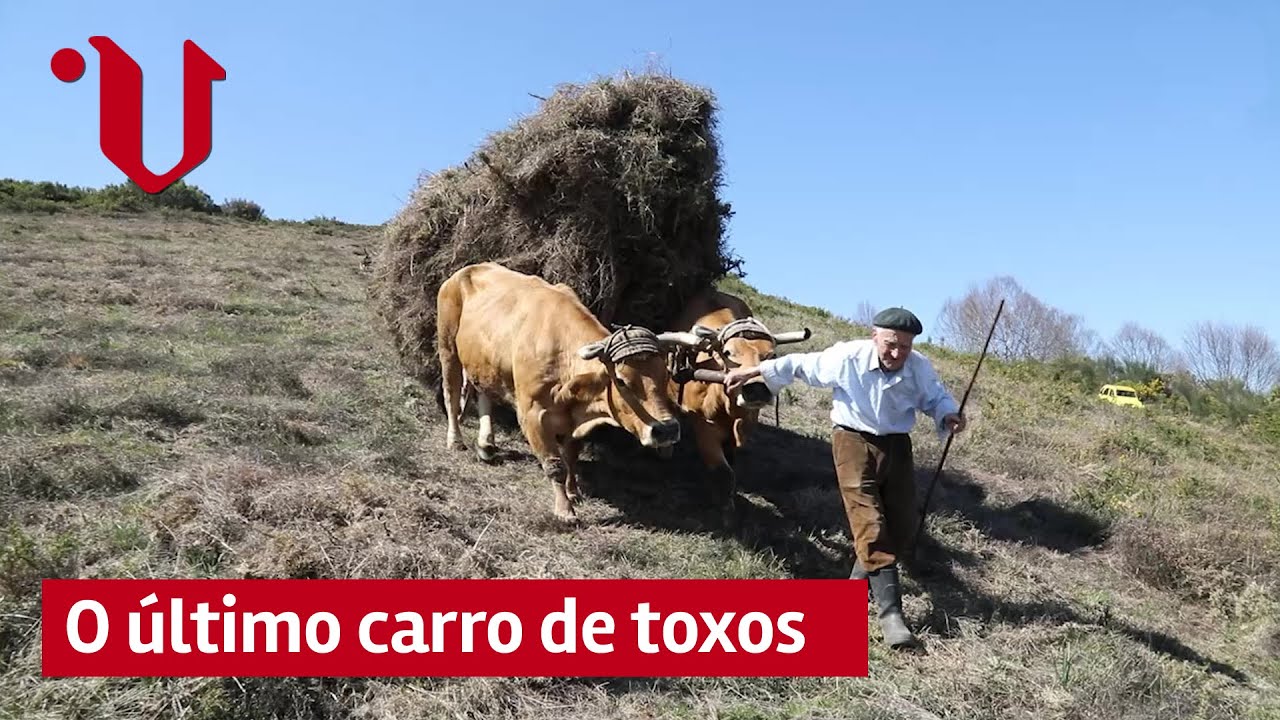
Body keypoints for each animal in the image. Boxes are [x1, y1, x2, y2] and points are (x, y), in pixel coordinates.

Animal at [436, 262, 707, 521]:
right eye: (621, 380)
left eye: (665, 374)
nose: (667, 430)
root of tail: (466, 271)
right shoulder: (532, 414)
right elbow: (555, 465)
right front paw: (565, 510)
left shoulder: (575, 418)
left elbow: (571, 457)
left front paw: (573, 491)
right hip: (447, 347)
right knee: (451, 393)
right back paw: (455, 440)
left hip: (484, 361)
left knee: (483, 392)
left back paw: (486, 444)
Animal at [663, 289, 812, 525]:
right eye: (728, 353)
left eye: (771, 355)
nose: (757, 389)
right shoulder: (703, 424)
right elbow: (723, 471)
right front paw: (727, 513)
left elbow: (731, 465)